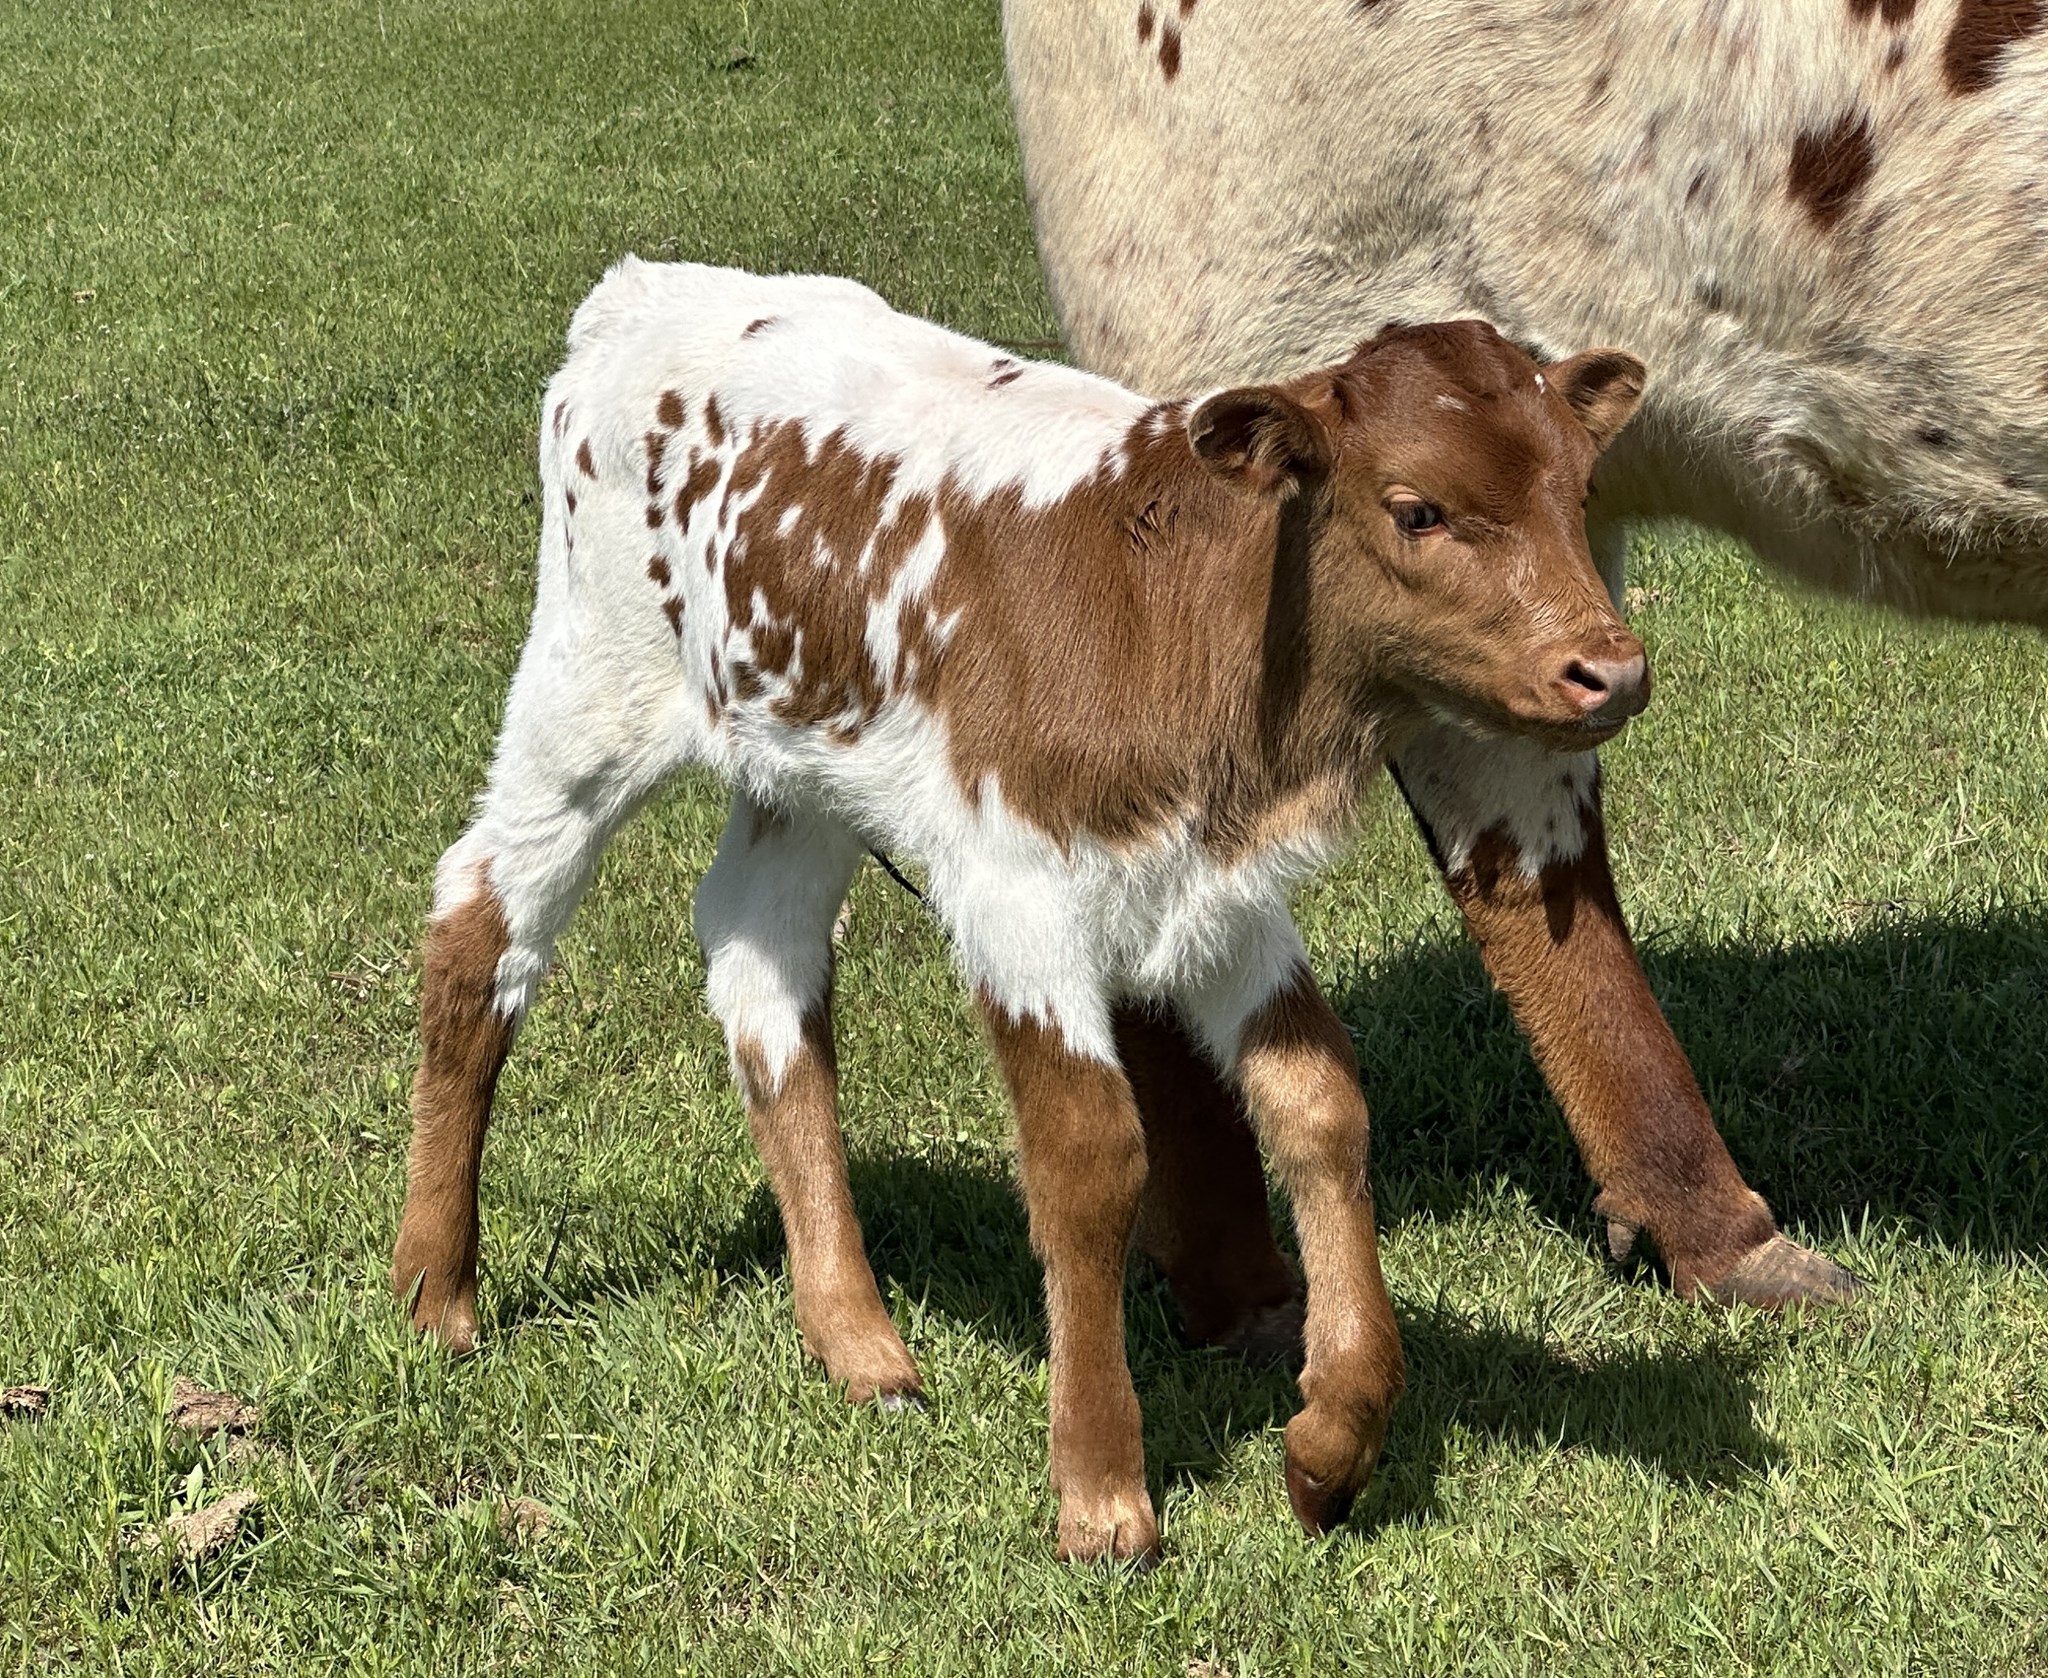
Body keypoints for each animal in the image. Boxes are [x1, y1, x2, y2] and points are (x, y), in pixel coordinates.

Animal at [391, 257, 1654, 1559]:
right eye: (1415, 509)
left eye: (1577, 487)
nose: (1609, 670)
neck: (1168, 618)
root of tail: (646, 287)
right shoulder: (1017, 889)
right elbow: (1092, 1153)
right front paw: (1099, 1489)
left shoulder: (1218, 894)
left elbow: (1319, 1103)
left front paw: (1329, 1441)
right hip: (585, 697)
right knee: (483, 917)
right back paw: (436, 1289)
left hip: (806, 765)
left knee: (760, 950)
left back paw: (854, 1334)